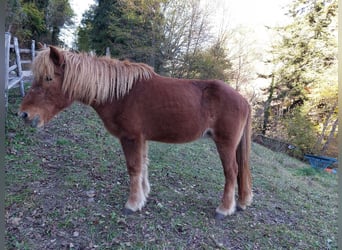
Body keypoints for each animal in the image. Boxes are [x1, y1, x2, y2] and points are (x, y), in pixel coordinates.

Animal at [20, 46, 252, 219]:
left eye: (48, 78)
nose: (24, 114)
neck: (120, 93)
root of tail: (244, 99)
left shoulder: (130, 138)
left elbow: (133, 168)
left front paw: (132, 204)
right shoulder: (141, 139)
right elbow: (142, 166)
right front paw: (142, 196)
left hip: (225, 144)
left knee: (232, 172)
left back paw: (224, 209)